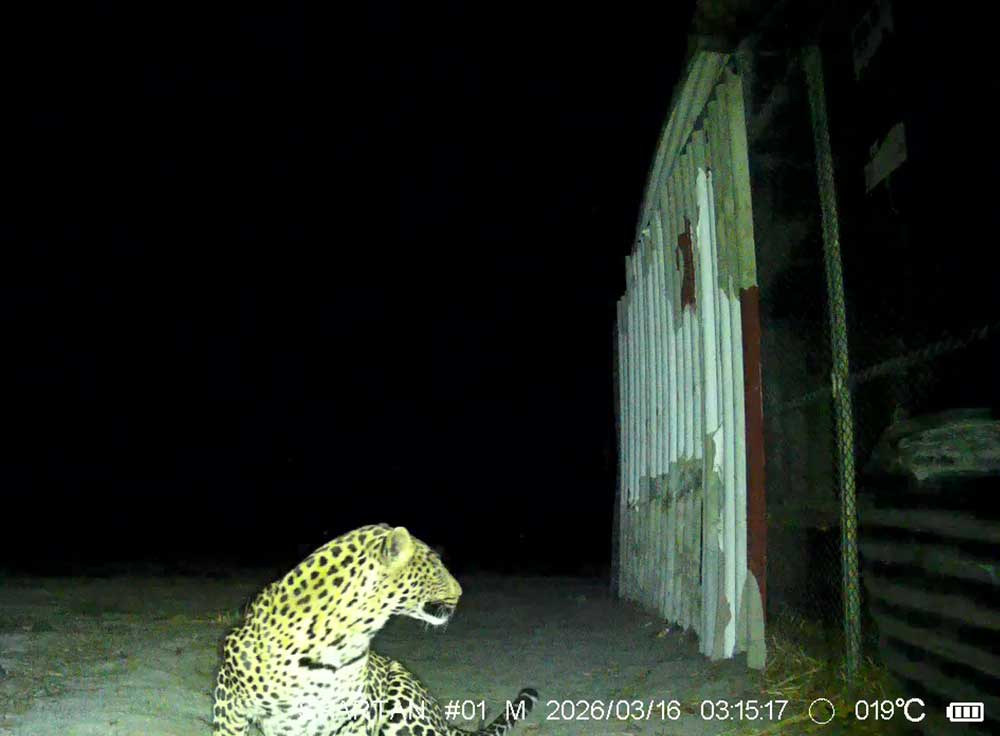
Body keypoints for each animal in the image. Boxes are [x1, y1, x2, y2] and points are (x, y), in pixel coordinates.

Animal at [213, 523, 538, 735]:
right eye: (435, 569)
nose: (460, 593)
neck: (343, 638)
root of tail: (444, 720)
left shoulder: (354, 717)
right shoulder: (229, 702)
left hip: (401, 699)